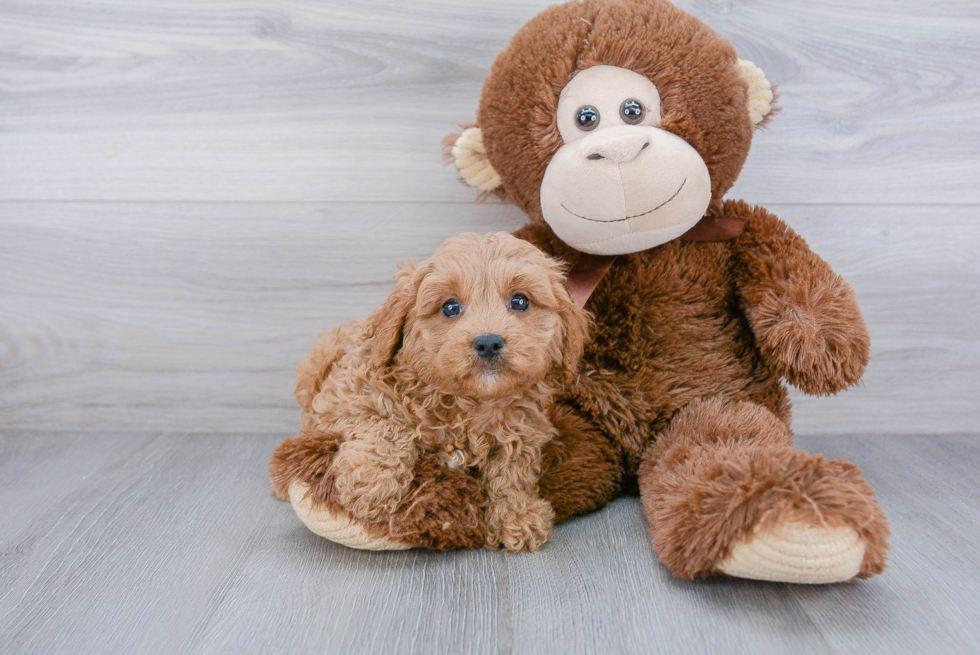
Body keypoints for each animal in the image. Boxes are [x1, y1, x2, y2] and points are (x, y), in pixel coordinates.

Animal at [268, 233, 588, 552]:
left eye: (520, 301)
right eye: (450, 307)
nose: (488, 343)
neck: (467, 404)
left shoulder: (522, 430)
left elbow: (512, 472)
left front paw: (518, 516)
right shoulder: (347, 397)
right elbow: (385, 424)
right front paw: (373, 485)